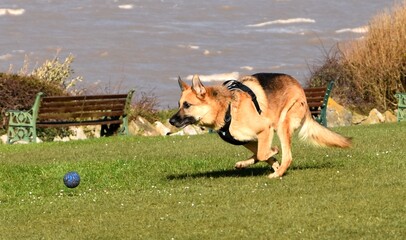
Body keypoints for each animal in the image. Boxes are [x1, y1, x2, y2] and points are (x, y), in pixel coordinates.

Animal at [170, 73, 350, 178]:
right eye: (179, 104)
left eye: (187, 105)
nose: (171, 121)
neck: (228, 108)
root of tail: (300, 87)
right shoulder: (245, 139)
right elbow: (260, 153)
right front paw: (271, 161)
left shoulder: (265, 129)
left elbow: (263, 153)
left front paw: (274, 153)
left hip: (282, 125)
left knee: (288, 156)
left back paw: (277, 172)